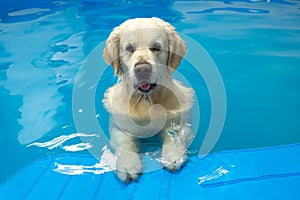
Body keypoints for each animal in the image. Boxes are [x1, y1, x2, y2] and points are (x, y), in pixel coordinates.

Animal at [102, 17, 193, 183]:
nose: (142, 68)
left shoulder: (180, 120)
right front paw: (127, 164)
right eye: (129, 48)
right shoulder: (119, 125)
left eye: (156, 47)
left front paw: (173, 155)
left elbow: (173, 134)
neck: (145, 101)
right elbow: (124, 142)